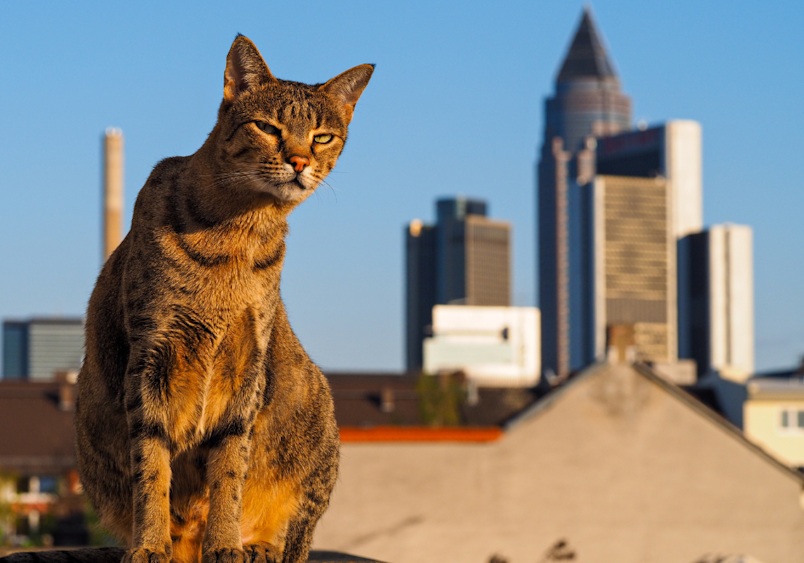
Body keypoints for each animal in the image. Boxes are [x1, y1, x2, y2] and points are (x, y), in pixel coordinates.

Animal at [75, 34, 374, 563]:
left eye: (322, 137)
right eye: (268, 127)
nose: (300, 161)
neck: (235, 235)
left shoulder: (249, 361)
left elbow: (230, 467)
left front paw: (225, 542)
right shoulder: (150, 354)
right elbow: (151, 466)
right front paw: (150, 544)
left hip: (314, 420)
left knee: (296, 534)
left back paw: (257, 546)